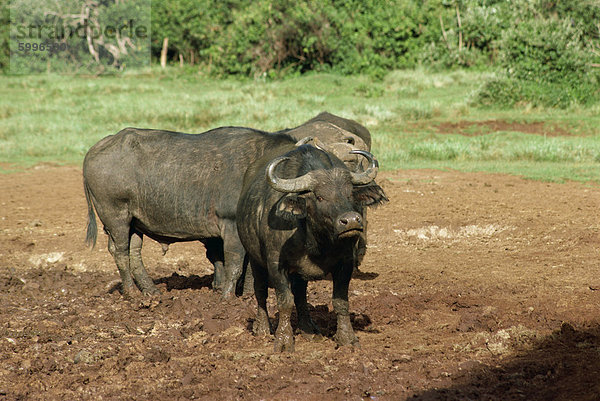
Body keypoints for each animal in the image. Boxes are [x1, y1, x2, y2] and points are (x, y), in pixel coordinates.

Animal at [237, 144, 386, 350]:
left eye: (349, 194)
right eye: (320, 197)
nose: (350, 221)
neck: (316, 240)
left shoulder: (346, 263)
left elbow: (340, 301)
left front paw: (347, 338)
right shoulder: (276, 265)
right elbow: (285, 301)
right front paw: (284, 341)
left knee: (301, 295)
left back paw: (308, 329)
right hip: (254, 258)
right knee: (260, 290)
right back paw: (262, 328)